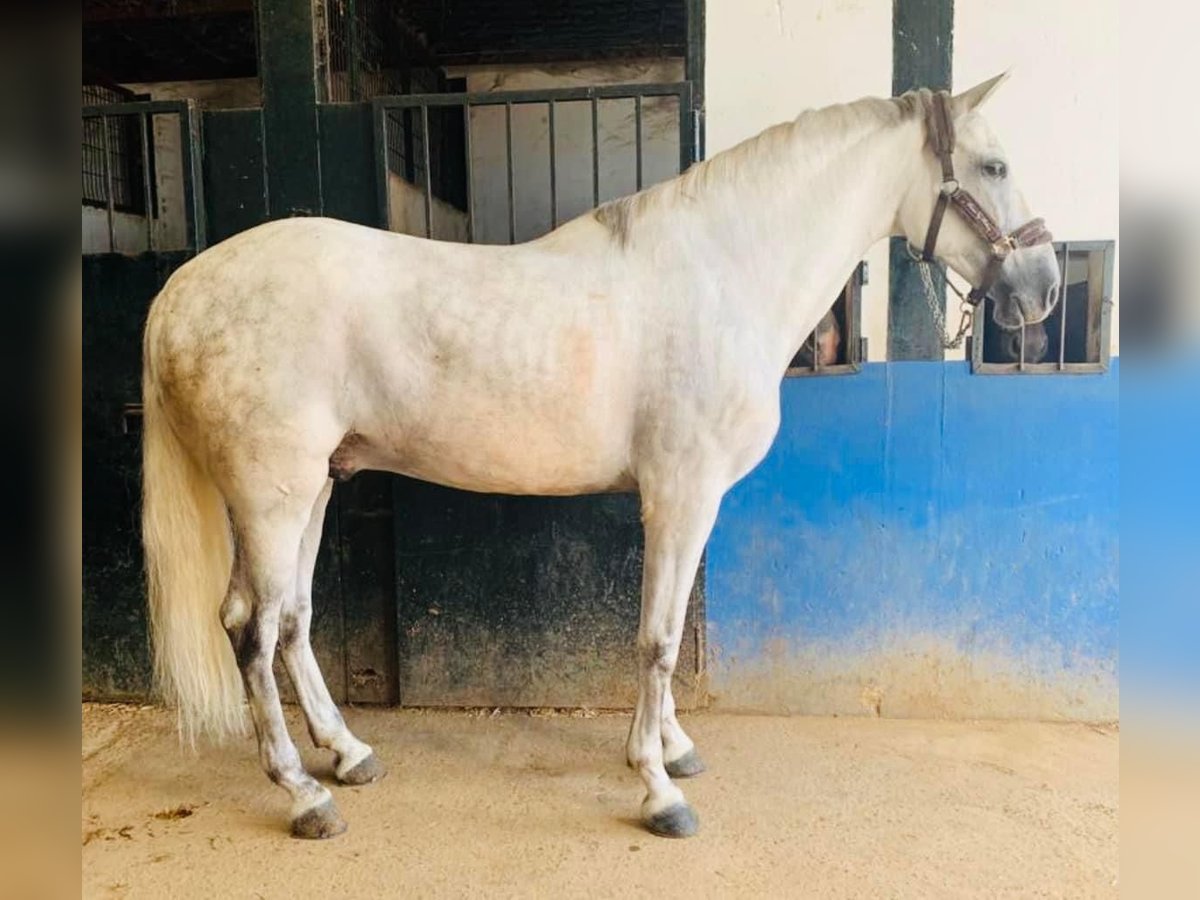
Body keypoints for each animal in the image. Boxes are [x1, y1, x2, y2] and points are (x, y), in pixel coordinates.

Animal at [138, 74, 1060, 844]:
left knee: (292, 619)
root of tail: (181, 291)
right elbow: (657, 638)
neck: (722, 277)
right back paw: (305, 795)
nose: (1043, 290)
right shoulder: (681, 495)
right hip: (272, 495)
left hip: (311, 491)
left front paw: (673, 748)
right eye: (995, 164)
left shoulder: (690, 501)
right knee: (252, 629)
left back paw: (350, 755)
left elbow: (670, 628)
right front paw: (659, 789)